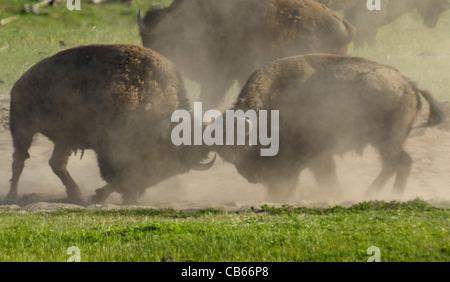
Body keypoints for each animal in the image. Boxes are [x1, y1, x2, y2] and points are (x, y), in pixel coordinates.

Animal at [7, 43, 215, 204]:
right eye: (154, 157)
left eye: (172, 170)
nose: (133, 195)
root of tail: (20, 82)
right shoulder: (110, 146)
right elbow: (115, 173)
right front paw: (100, 196)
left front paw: (101, 196)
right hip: (23, 130)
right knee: (20, 161)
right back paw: (13, 196)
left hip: (64, 139)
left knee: (56, 163)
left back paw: (77, 195)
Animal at [214, 54, 442, 202]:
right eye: (228, 157)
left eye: (248, 148)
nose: (250, 175)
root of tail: (407, 83)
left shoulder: (309, 154)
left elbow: (313, 175)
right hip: (385, 143)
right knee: (392, 165)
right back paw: (372, 194)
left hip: (386, 141)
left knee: (401, 162)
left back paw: (391, 195)